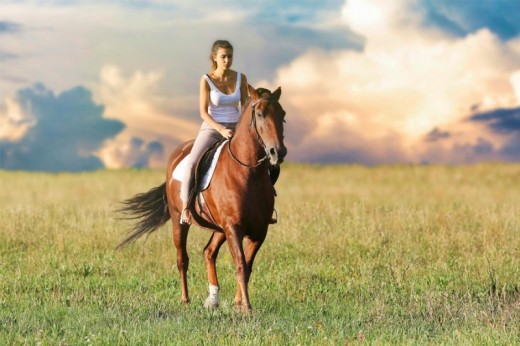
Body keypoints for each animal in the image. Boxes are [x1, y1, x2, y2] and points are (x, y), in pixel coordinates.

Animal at [117, 85, 286, 312]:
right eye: (260, 114)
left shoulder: (259, 230)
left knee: (208, 252)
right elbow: (241, 264)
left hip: (219, 228)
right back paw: (185, 299)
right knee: (182, 258)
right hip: (180, 221)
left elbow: (247, 266)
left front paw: (238, 304)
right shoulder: (234, 227)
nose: (278, 152)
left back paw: (213, 299)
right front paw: (247, 308)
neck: (248, 172)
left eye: (282, 115)